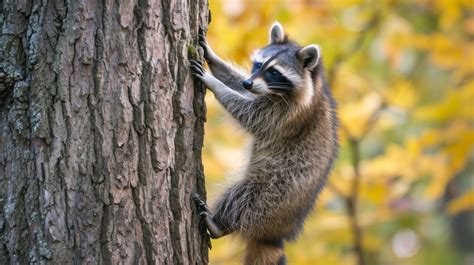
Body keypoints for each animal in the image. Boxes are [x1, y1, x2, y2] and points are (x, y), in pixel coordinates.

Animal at [191, 23, 338, 264]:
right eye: (258, 65)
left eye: (274, 72)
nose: (248, 82)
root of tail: (274, 235)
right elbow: (238, 86)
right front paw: (213, 58)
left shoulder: (287, 116)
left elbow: (248, 113)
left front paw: (215, 84)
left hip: (276, 192)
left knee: (244, 198)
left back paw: (218, 225)